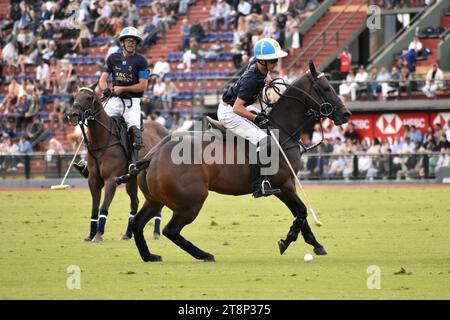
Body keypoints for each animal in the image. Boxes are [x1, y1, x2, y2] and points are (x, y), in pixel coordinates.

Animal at [68, 83, 169, 242]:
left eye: (89, 97)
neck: (102, 140)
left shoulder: (111, 179)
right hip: (132, 179)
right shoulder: (93, 180)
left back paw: (156, 233)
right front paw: (90, 235)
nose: (73, 115)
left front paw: (98, 235)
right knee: (135, 202)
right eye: (74, 96)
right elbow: (94, 208)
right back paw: (128, 234)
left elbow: (104, 206)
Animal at [130, 60, 352, 262]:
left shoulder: (287, 185)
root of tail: (154, 155)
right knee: (171, 230)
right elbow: (302, 212)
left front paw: (316, 245)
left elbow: (301, 214)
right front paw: (287, 240)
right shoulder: (283, 184)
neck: (282, 131)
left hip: (155, 200)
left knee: (138, 224)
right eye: (327, 88)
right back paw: (204, 254)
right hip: (191, 201)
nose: (346, 114)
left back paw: (149, 256)